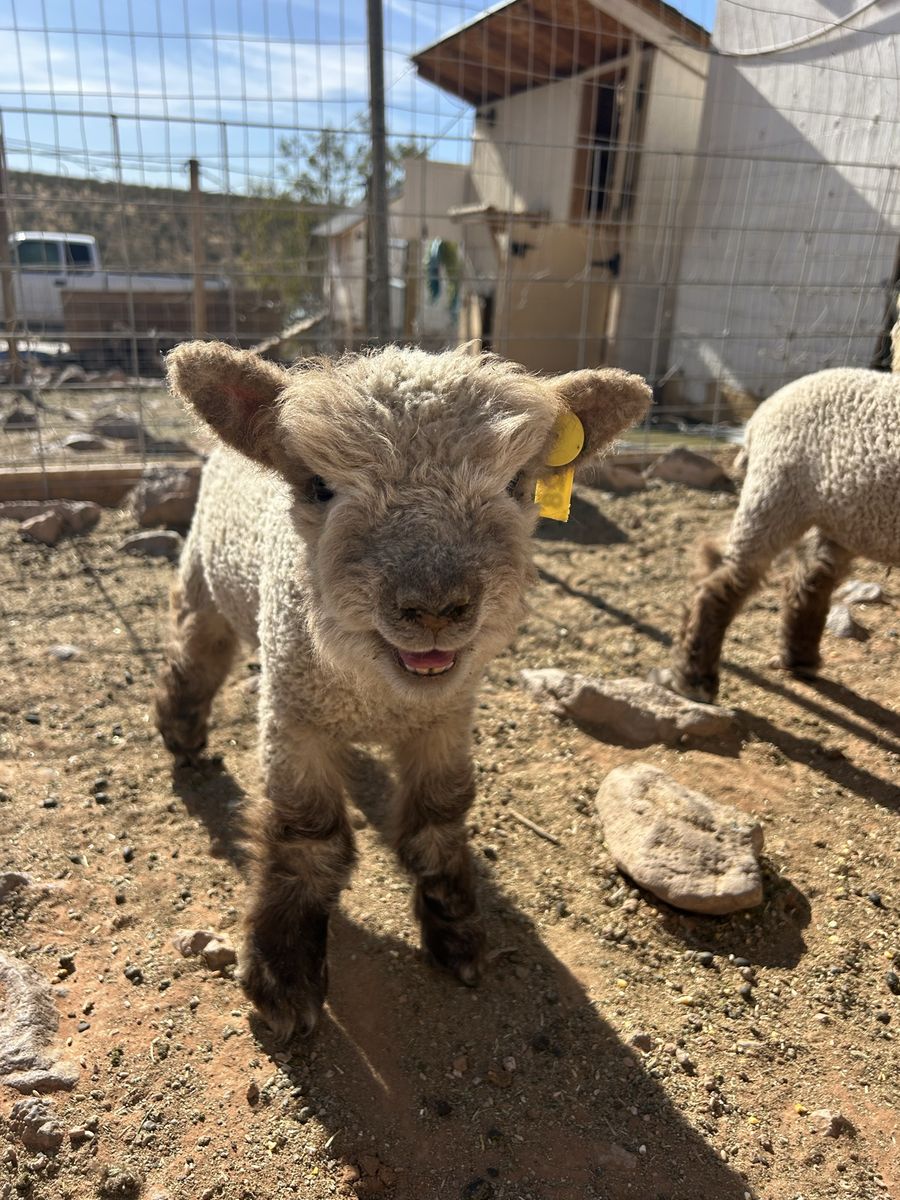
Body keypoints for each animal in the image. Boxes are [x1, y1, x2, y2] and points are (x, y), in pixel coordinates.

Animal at [155, 340, 651, 1037]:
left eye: (515, 484)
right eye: (319, 486)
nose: (436, 606)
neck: (378, 695)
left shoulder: (446, 718)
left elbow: (438, 818)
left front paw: (457, 932)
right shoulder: (293, 715)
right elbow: (307, 836)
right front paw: (284, 976)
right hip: (204, 576)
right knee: (195, 657)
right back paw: (181, 735)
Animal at [660, 360, 900, 704]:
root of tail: (763, 412)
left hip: (841, 514)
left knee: (810, 576)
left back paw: (799, 659)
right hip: (778, 489)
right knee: (725, 576)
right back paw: (694, 679)